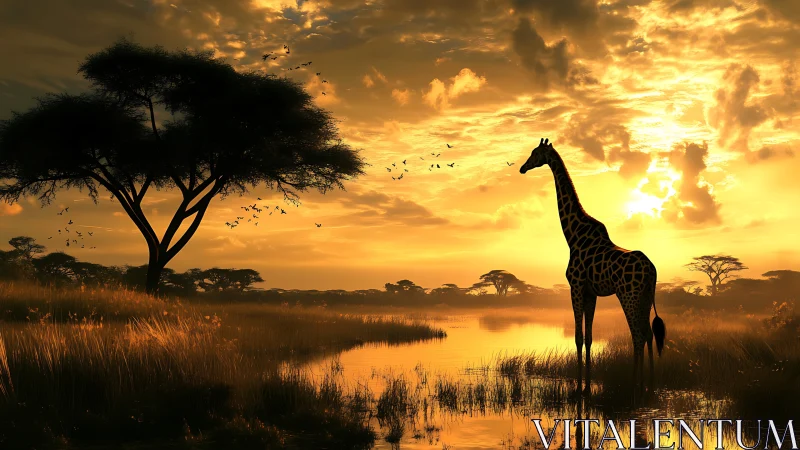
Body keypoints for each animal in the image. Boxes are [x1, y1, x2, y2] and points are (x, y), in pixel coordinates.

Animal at [519, 138, 666, 396]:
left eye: (535, 153)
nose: (522, 168)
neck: (573, 235)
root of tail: (651, 271)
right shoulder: (591, 292)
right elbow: (588, 337)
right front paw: (586, 384)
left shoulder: (576, 286)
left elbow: (578, 337)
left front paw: (578, 386)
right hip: (645, 297)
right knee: (648, 334)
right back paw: (649, 384)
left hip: (628, 295)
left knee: (638, 336)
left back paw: (635, 384)